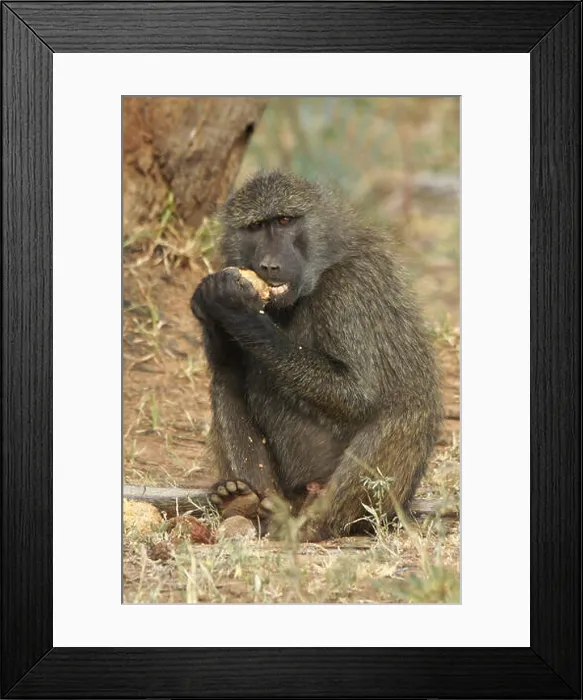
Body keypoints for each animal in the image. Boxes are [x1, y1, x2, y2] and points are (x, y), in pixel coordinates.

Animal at [190, 171, 443, 540]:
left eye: (284, 221)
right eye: (255, 227)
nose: (268, 264)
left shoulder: (348, 289)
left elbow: (358, 395)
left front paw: (238, 310)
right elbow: (225, 367)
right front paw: (209, 302)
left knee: (401, 411)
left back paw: (313, 528)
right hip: (285, 490)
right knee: (226, 381)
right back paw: (247, 504)